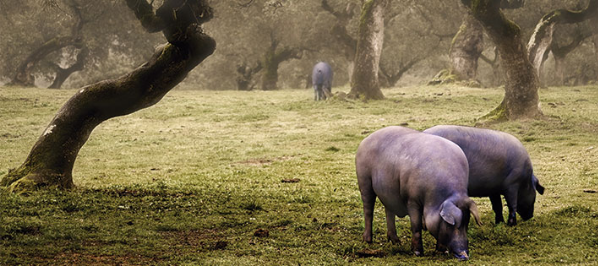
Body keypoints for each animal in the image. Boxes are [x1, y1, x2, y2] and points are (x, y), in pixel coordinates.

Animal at [356, 126, 482, 260]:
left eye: (466, 223)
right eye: (450, 225)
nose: (464, 255)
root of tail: (365, 140)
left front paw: (442, 251)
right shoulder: (412, 200)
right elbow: (416, 225)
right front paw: (417, 253)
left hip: (388, 191)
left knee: (389, 211)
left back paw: (396, 242)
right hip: (364, 181)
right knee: (368, 210)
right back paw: (367, 240)